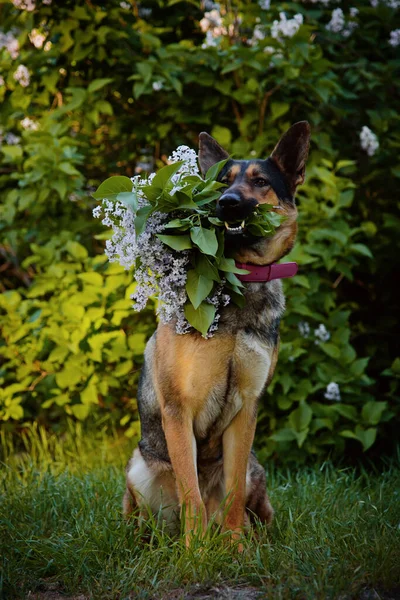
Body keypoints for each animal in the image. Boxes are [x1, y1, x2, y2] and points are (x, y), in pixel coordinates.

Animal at [123, 119, 310, 548]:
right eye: (221, 182)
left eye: (260, 181)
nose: (227, 202)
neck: (237, 280)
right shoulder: (179, 411)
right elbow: (190, 493)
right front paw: (193, 554)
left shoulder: (246, 409)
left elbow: (234, 494)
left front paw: (237, 548)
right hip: (138, 467)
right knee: (151, 515)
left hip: (256, 465)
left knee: (250, 508)